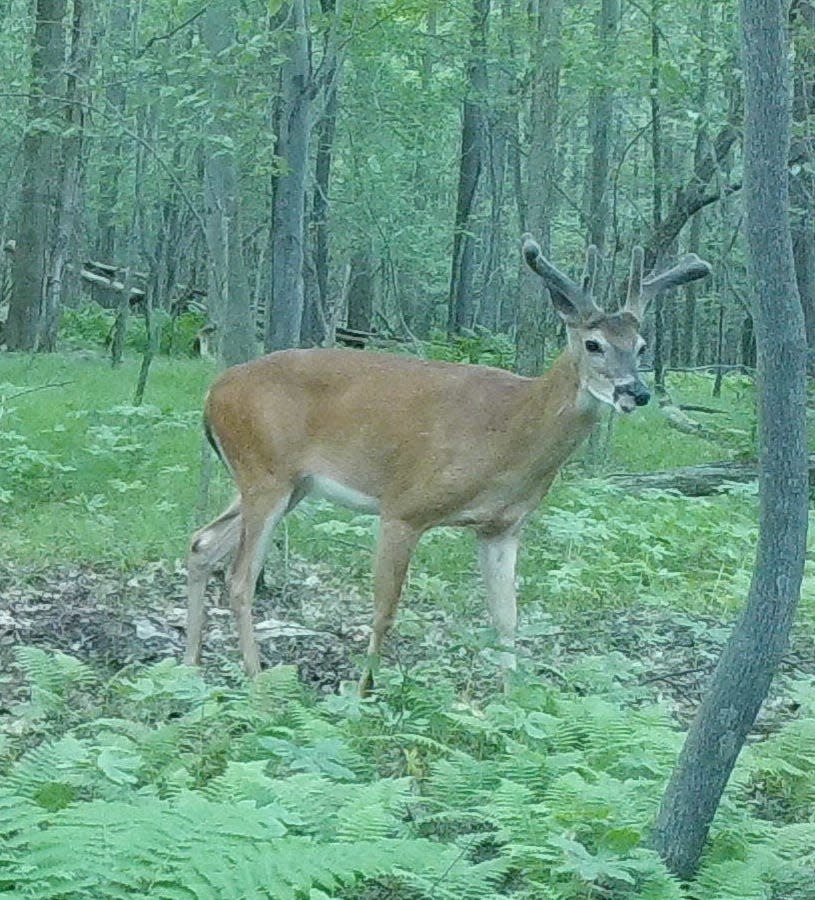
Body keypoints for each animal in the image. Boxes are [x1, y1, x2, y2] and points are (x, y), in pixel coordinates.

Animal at [185, 236, 708, 692]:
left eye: (641, 346)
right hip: (265, 471)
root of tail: (212, 395)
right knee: (239, 577)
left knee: (202, 544)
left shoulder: (501, 528)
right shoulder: (404, 507)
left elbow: (506, 620)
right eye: (593, 343)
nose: (636, 392)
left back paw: (188, 669)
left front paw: (510, 706)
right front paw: (362, 698)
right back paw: (258, 684)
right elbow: (385, 611)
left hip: (288, 483)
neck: (509, 436)